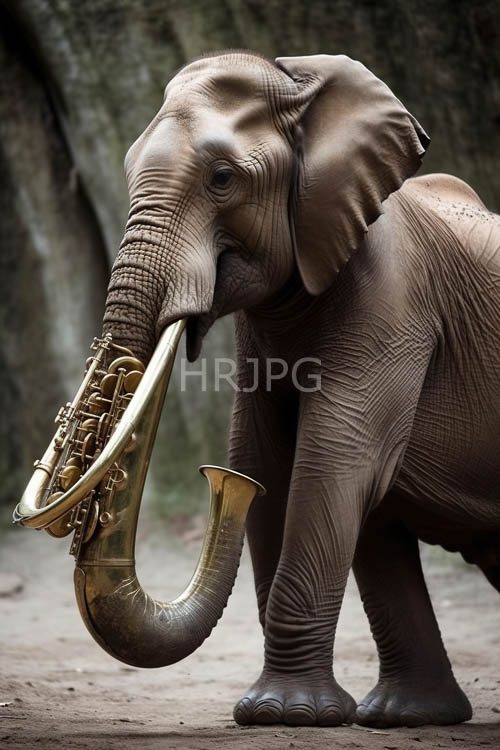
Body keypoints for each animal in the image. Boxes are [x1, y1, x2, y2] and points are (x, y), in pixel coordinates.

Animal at [102, 50, 500, 728]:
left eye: (222, 179)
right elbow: (265, 463)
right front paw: (331, 714)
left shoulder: (394, 299)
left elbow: (332, 462)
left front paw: (282, 713)